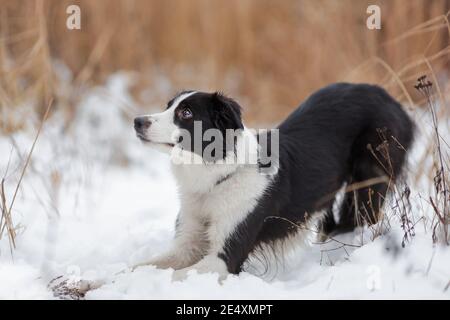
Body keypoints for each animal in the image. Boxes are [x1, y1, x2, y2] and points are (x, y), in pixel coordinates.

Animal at [132, 83, 414, 280]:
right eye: (168, 106)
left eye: (186, 112)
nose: (137, 121)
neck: (216, 177)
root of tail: (392, 100)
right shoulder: (187, 244)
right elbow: (140, 266)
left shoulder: (225, 258)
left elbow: (175, 275)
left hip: (369, 181)